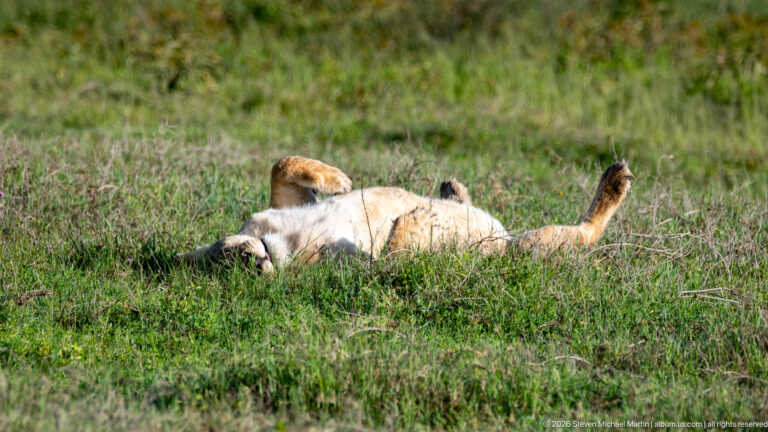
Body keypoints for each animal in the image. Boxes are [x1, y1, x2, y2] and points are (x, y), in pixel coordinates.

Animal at [183, 156, 633, 273]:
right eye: (225, 267)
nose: (253, 263)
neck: (280, 244)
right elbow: (391, 257)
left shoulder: (283, 204)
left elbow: (281, 165)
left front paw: (339, 181)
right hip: (520, 248)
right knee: (583, 234)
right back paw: (616, 181)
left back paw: (452, 190)